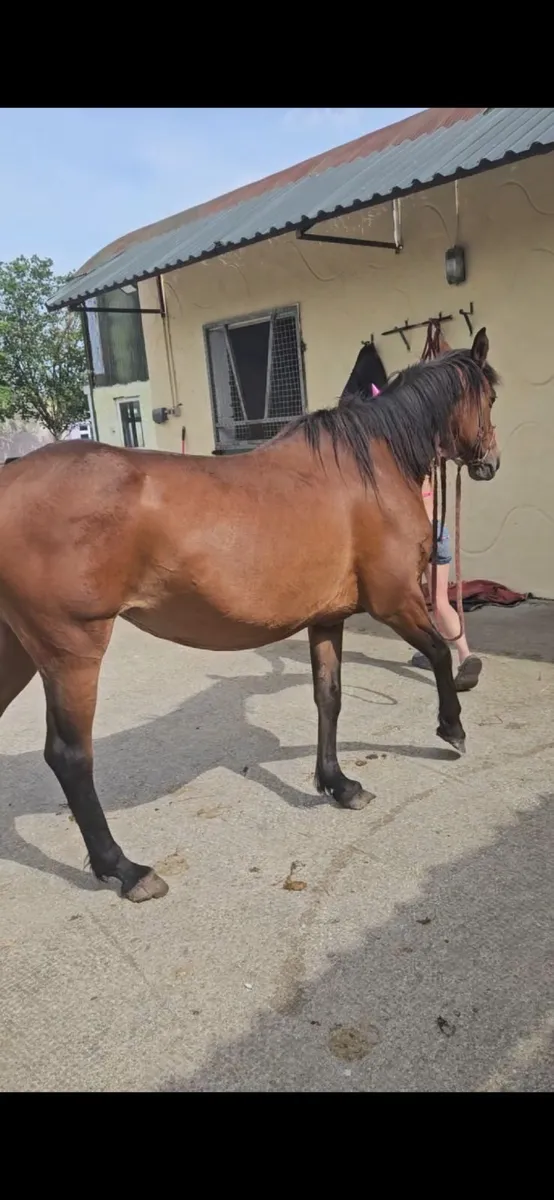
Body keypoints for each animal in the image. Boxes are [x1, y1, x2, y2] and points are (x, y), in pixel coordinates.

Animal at [0, 327, 500, 904]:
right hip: (70, 651)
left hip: (18, 651)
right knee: (70, 756)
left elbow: (329, 698)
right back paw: (125, 869)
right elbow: (439, 652)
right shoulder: (396, 600)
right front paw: (452, 729)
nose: (491, 462)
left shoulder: (327, 617)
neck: (368, 466)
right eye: (491, 397)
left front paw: (339, 785)